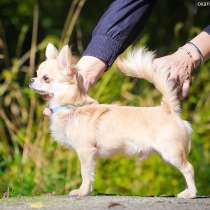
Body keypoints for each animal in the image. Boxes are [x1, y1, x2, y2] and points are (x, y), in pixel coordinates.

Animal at [29, 43, 197, 198]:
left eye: (45, 78)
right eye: (37, 74)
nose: (31, 80)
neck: (72, 107)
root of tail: (168, 109)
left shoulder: (85, 151)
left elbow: (85, 173)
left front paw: (82, 191)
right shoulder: (90, 155)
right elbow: (91, 175)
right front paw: (88, 191)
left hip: (171, 152)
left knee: (189, 168)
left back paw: (191, 193)